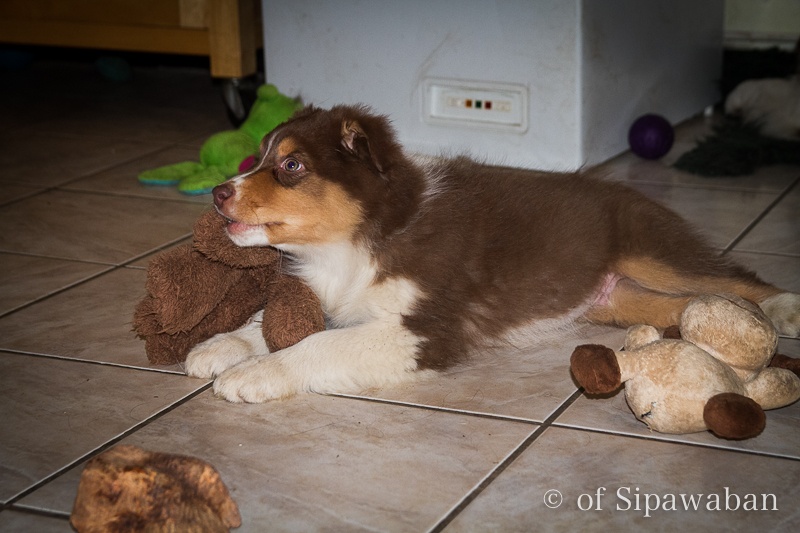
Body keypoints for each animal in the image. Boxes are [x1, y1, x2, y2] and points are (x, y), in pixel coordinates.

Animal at [185, 104, 800, 403]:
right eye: (260, 156)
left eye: (291, 166)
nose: (217, 193)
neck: (359, 240)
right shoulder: (325, 293)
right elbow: (270, 319)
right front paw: (220, 347)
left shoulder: (425, 331)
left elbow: (319, 344)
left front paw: (255, 375)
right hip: (618, 298)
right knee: (689, 304)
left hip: (652, 250)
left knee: (736, 277)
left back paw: (785, 309)